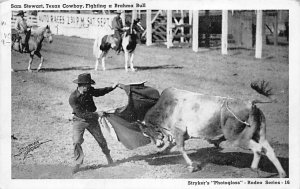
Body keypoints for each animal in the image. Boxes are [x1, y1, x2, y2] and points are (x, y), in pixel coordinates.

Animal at [142, 82, 288, 178]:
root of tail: (250, 103)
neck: (166, 107)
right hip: (260, 134)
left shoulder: (178, 132)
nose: (157, 144)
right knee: (269, 151)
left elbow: (181, 148)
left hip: (237, 138)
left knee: (258, 149)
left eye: (147, 133)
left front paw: (192, 166)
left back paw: (254, 169)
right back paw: (282, 174)